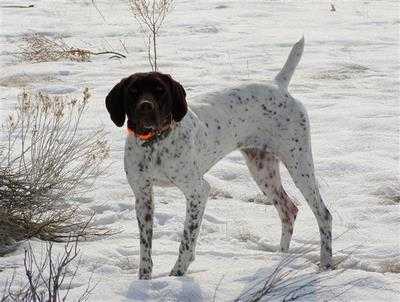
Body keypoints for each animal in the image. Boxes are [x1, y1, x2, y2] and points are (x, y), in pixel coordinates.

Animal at [105, 38, 332, 280]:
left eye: (160, 91)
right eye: (133, 91)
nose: (145, 107)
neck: (154, 144)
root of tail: (279, 85)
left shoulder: (198, 191)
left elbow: (186, 241)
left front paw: (177, 275)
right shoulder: (143, 196)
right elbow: (145, 249)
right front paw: (144, 281)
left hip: (299, 165)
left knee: (323, 215)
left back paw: (326, 265)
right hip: (263, 171)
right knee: (288, 210)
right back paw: (280, 258)